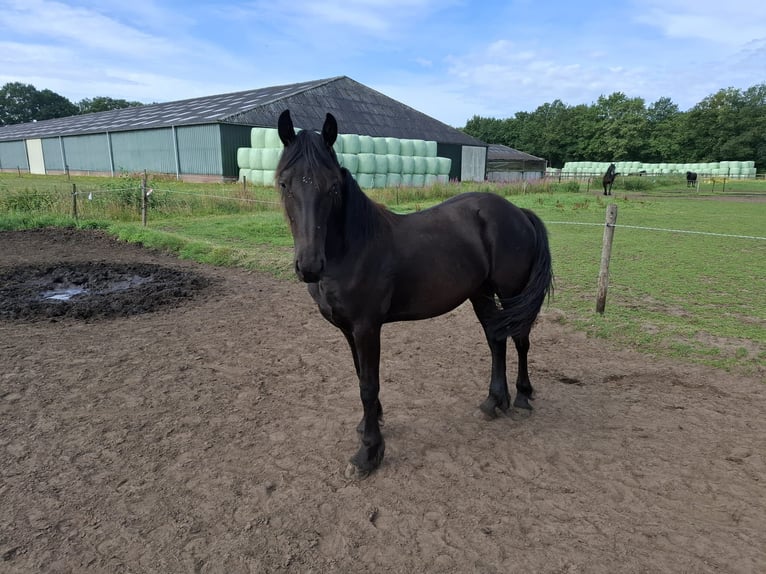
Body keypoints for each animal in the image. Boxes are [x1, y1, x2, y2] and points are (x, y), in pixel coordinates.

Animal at [276, 110, 554, 478]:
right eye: (284, 184)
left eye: (333, 186)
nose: (308, 266)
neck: (353, 247)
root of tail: (517, 212)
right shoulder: (348, 330)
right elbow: (360, 375)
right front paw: (368, 427)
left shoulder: (367, 327)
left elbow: (369, 385)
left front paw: (368, 453)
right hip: (480, 294)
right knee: (496, 339)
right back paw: (494, 401)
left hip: (512, 292)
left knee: (520, 339)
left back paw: (522, 397)